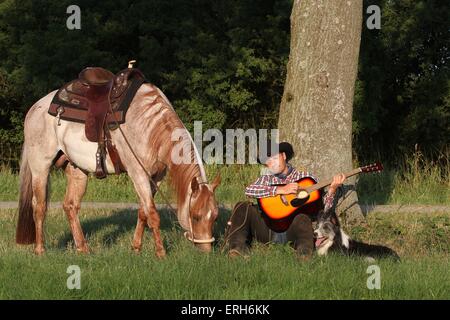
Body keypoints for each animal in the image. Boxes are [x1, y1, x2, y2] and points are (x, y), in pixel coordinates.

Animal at [16, 80, 221, 258]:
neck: (147, 125)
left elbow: (143, 212)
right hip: (40, 166)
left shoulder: (156, 176)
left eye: (215, 217)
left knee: (70, 206)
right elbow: (152, 213)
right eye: (195, 216)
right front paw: (161, 253)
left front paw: (136, 248)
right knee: (39, 206)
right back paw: (40, 250)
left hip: (76, 169)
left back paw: (83, 248)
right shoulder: (138, 173)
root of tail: (34, 108)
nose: (206, 251)